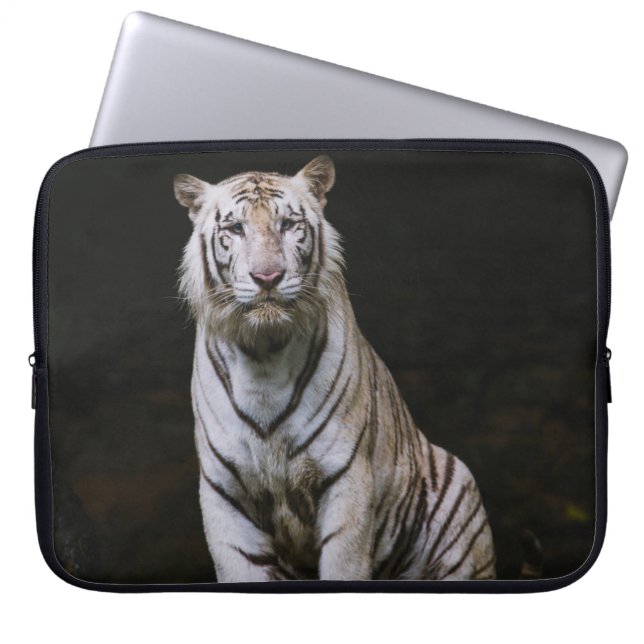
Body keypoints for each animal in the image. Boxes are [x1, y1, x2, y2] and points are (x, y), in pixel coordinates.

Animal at [174, 155, 496, 582]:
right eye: (235, 229)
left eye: (287, 225)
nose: (267, 277)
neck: (263, 355)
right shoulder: (224, 492)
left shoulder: (345, 480)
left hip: (459, 489)